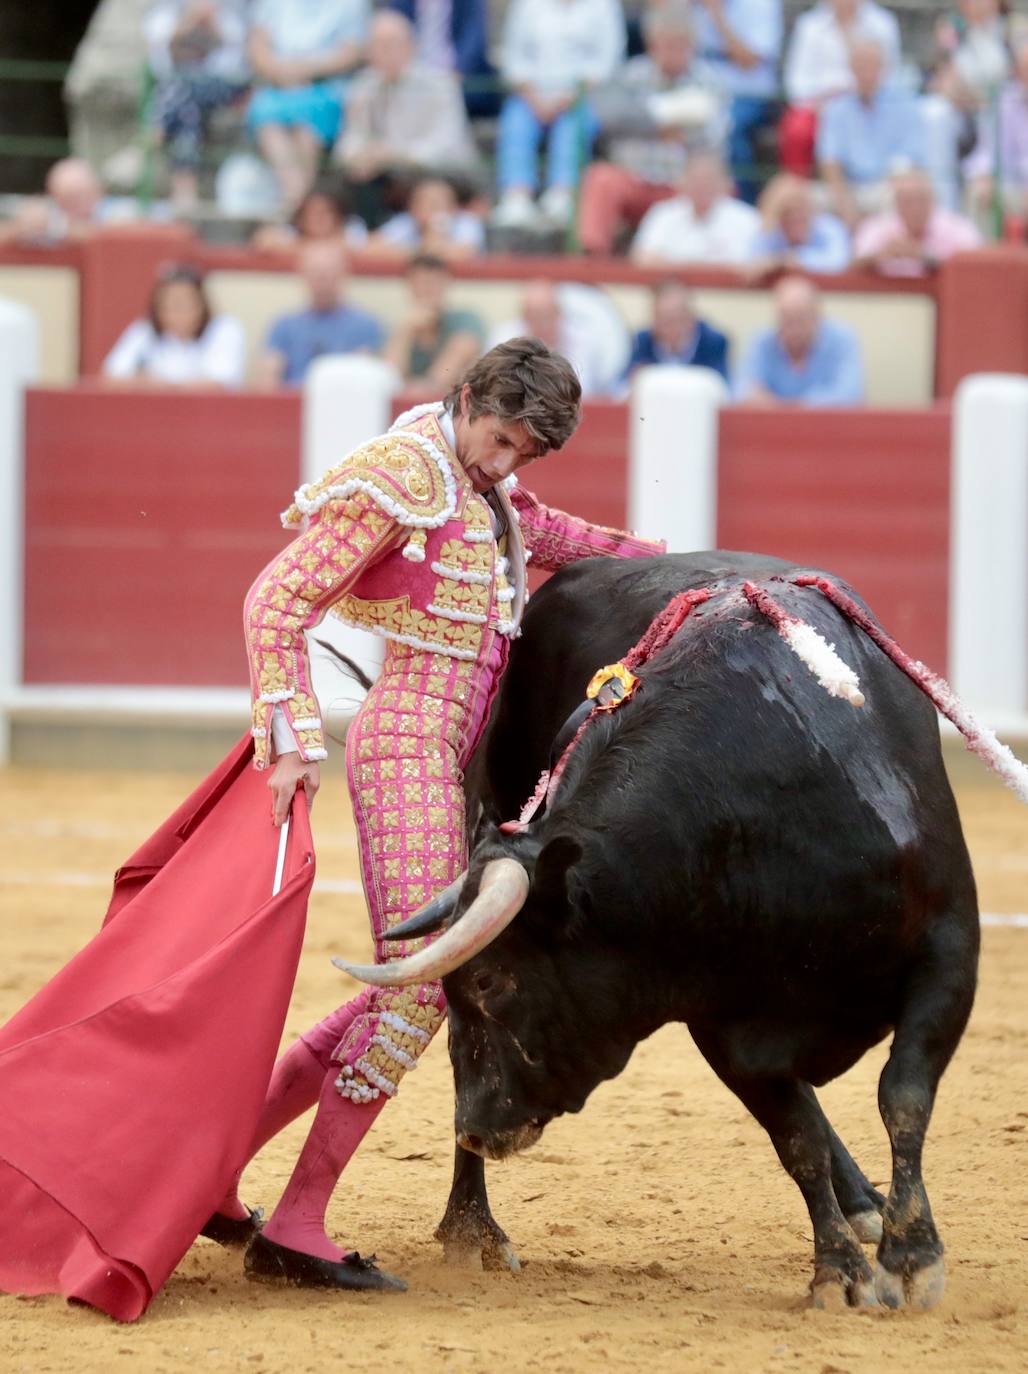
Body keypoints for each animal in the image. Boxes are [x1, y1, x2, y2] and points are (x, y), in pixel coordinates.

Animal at [398, 549, 984, 1308]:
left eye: (492, 981)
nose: (474, 1129)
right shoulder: (719, 1016)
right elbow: (796, 1138)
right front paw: (840, 1273)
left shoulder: (950, 950)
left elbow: (903, 1095)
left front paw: (911, 1257)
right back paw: (473, 1228)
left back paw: (866, 1205)